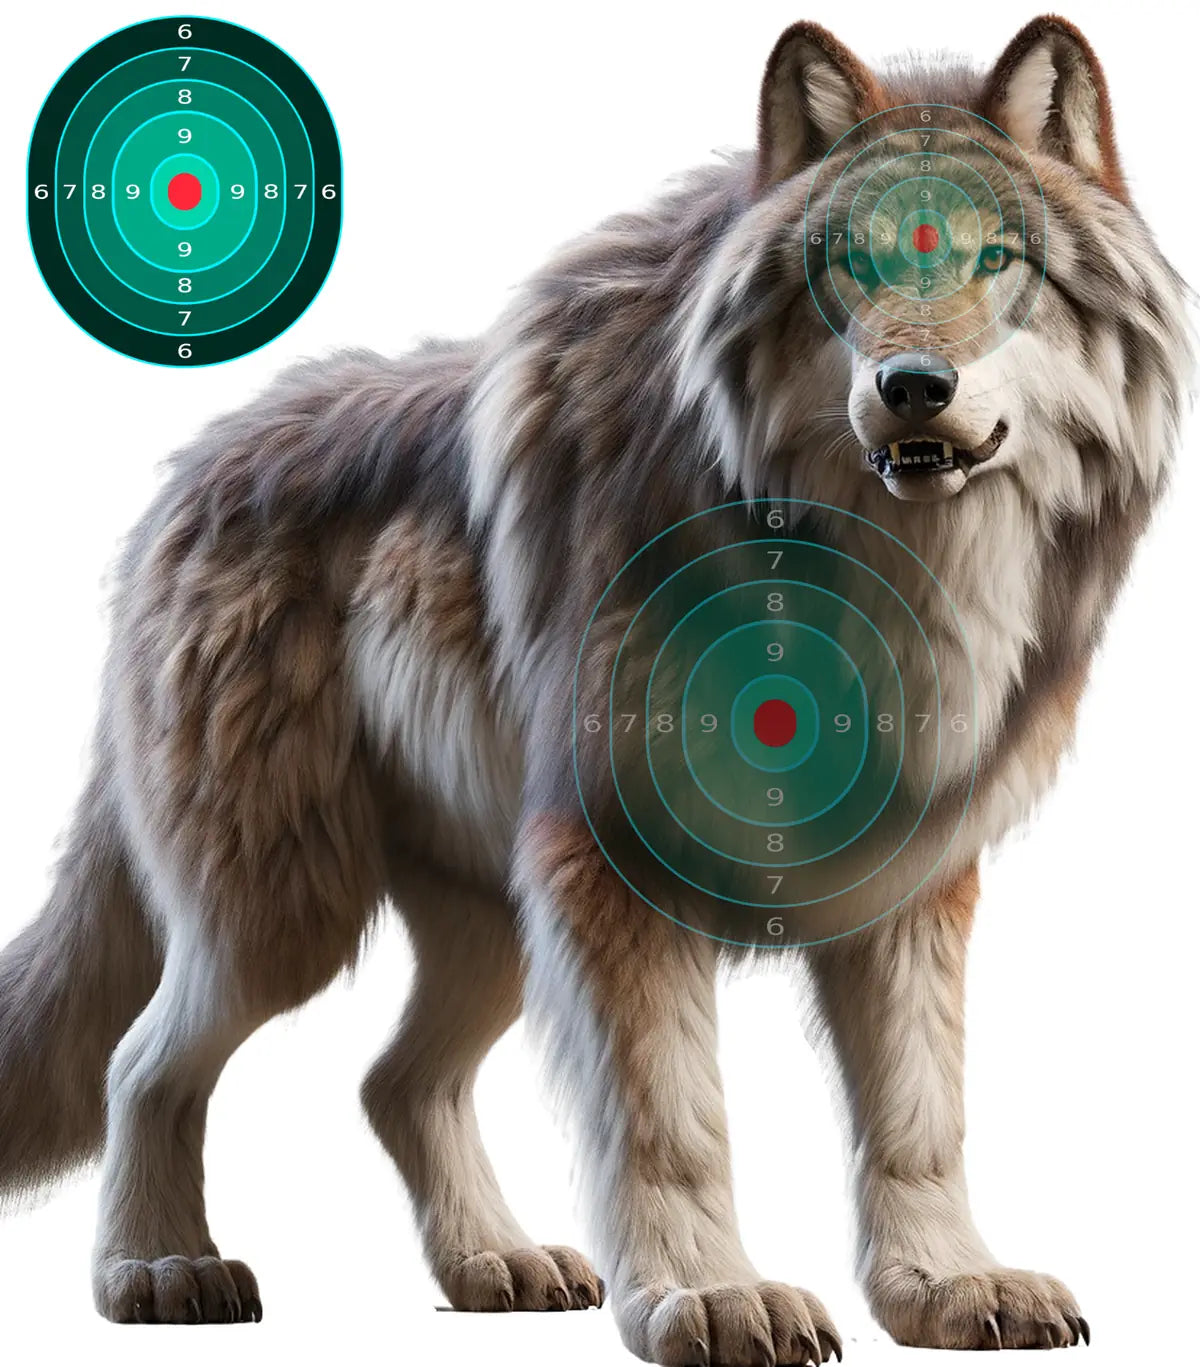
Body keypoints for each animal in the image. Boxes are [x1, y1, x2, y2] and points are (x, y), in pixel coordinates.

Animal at [0, 14, 1190, 1362]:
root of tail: (189, 474)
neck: (873, 572)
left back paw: (494, 1262)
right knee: (142, 1060)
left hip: (491, 922)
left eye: (998, 258)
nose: (913, 388)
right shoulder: (611, 855)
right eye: (847, 264)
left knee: (394, 1080)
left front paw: (944, 1283)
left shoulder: (907, 875)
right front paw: (710, 1295)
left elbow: (920, 1114)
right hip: (286, 913)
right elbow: (672, 1116)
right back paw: (159, 1266)